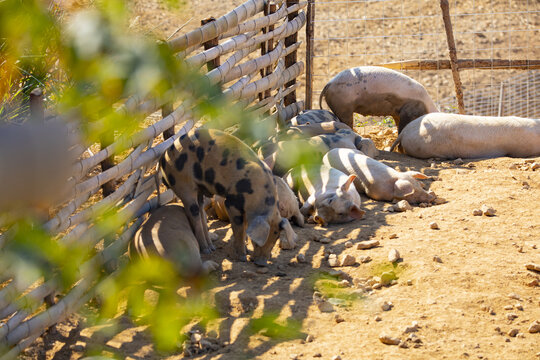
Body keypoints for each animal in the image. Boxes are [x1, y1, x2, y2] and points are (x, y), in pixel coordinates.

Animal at [160, 128, 284, 266]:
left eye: (275, 239)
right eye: (256, 243)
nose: (261, 263)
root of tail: (163, 159)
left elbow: (245, 227)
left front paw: (246, 251)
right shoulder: (231, 203)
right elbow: (239, 229)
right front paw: (242, 257)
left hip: (199, 188)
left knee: (201, 211)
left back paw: (211, 247)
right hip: (183, 184)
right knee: (193, 213)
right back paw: (206, 250)